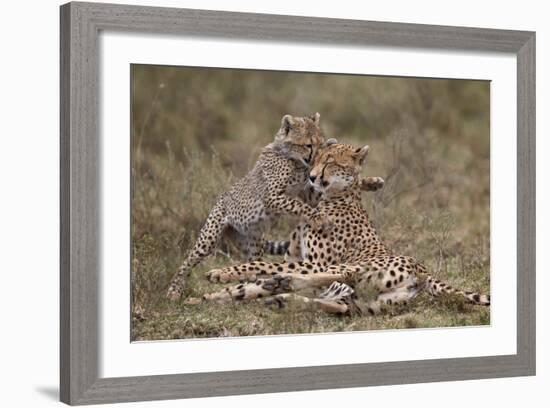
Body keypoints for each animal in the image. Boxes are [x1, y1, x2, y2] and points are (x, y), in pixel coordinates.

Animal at [191, 142, 492, 314]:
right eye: (315, 160)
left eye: (332, 162)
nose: (312, 177)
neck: (335, 196)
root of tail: (423, 269)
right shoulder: (298, 257)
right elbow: (253, 281)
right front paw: (206, 298)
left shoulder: (312, 262)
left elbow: (261, 265)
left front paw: (222, 274)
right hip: (369, 303)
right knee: (340, 305)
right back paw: (281, 297)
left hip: (353, 269)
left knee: (335, 275)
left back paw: (282, 285)